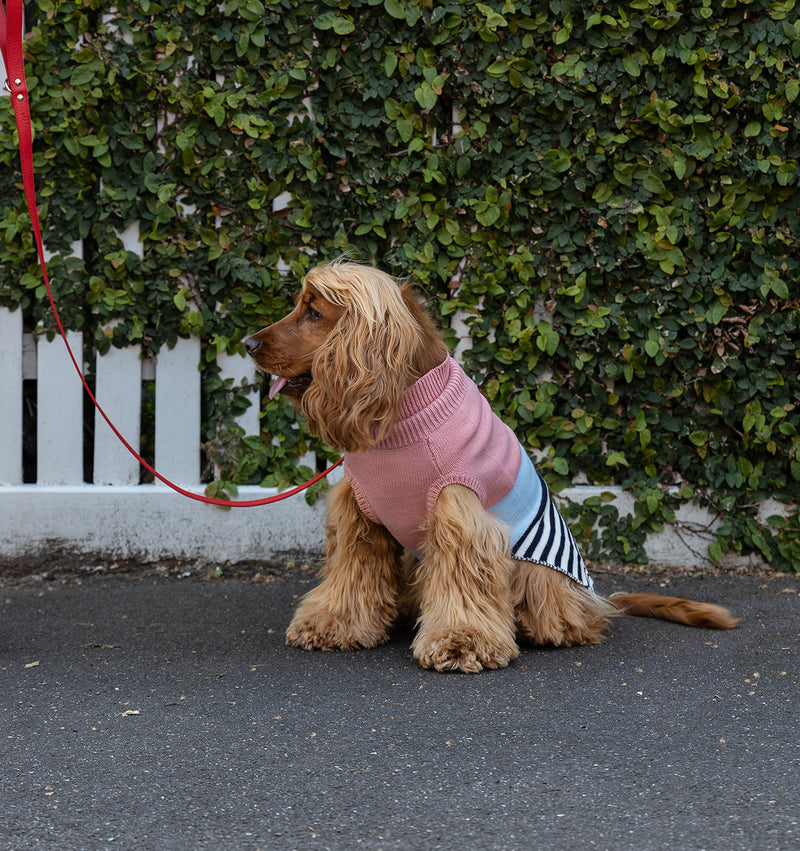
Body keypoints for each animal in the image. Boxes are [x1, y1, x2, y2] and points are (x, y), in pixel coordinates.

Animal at [242, 260, 736, 672]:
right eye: (299, 305)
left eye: (313, 313)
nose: (247, 343)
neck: (402, 410)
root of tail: (595, 598)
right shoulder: (359, 511)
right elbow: (352, 571)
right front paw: (333, 624)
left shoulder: (458, 512)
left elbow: (463, 582)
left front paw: (462, 642)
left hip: (540, 572)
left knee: (569, 618)